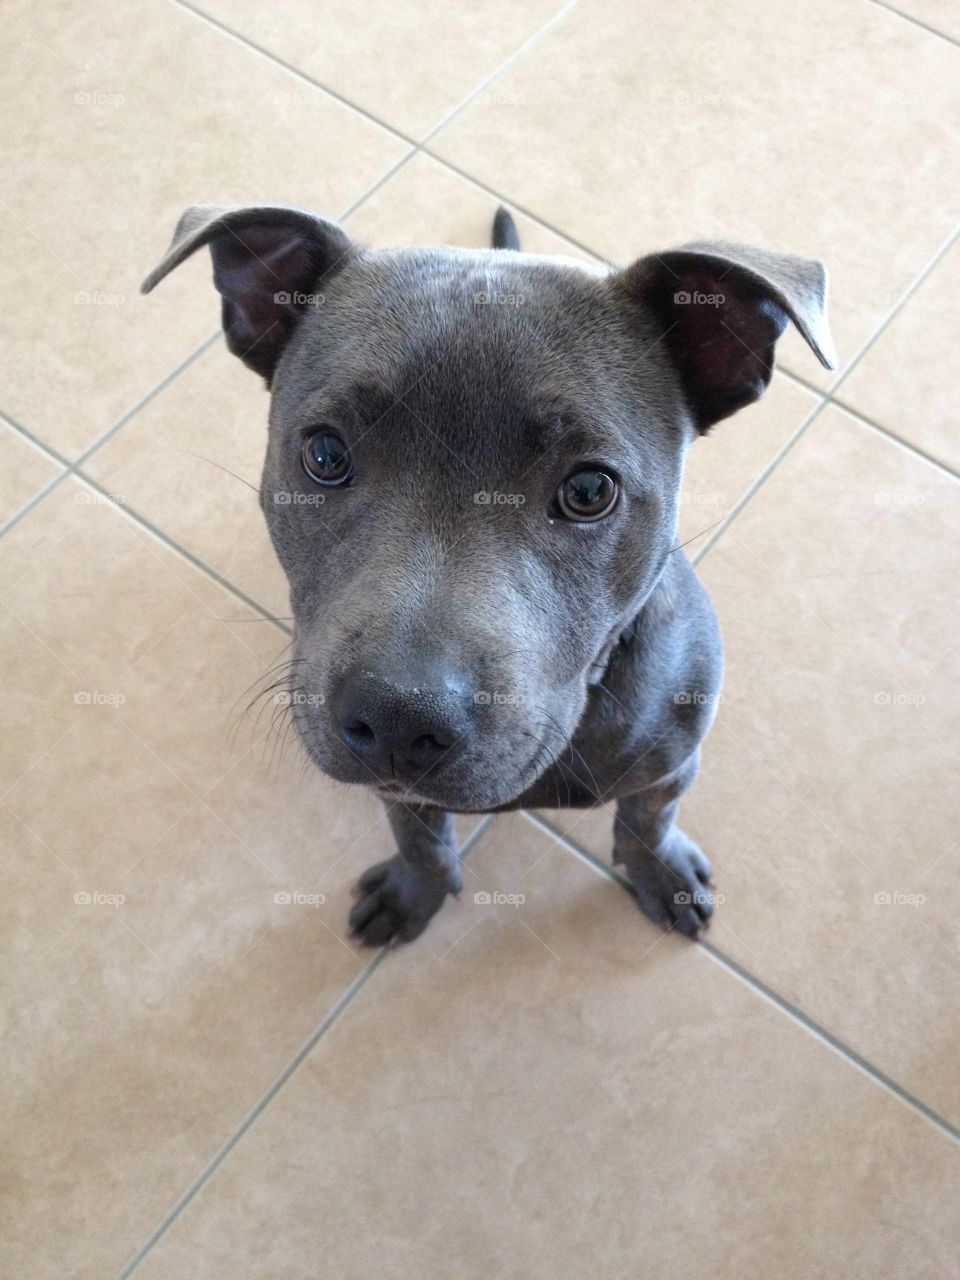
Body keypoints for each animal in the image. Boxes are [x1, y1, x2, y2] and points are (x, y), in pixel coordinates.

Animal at [142, 204, 834, 947]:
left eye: (590, 490)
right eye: (324, 454)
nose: (397, 717)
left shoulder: (670, 767)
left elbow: (647, 823)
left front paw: (662, 874)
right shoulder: (399, 790)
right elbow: (418, 836)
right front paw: (414, 890)